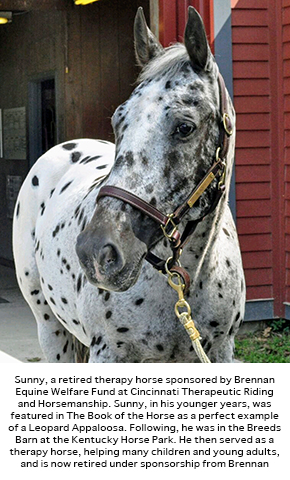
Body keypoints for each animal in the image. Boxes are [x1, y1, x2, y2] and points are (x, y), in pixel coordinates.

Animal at [13, 7, 245, 362]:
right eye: (118, 120)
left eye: (185, 127)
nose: (96, 252)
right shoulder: (108, 352)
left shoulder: (220, 351)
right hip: (51, 330)